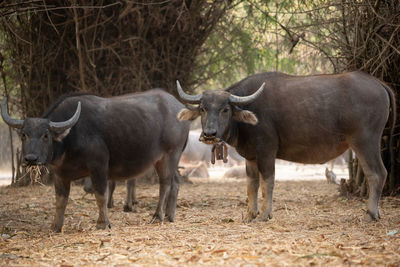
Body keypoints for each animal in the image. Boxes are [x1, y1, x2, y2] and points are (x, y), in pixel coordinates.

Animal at [1, 90, 190, 232]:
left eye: (45, 135)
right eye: (24, 134)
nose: (31, 159)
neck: (70, 137)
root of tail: (181, 110)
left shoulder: (99, 166)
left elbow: (101, 195)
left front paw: (102, 223)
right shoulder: (60, 174)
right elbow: (60, 201)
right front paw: (56, 226)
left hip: (170, 155)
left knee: (165, 183)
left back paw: (157, 216)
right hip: (168, 159)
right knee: (175, 182)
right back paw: (170, 216)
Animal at [177, 70, 396, 222]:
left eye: (225, 109)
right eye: (203, 108)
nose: (209, 134)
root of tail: (377, 83)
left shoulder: (266, 152)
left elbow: (268, 182)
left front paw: (265, 214)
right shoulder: (251, 157)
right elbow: (252, 184)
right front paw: (250, 214)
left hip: (365, 142)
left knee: (377, 173)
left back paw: (370, 213)